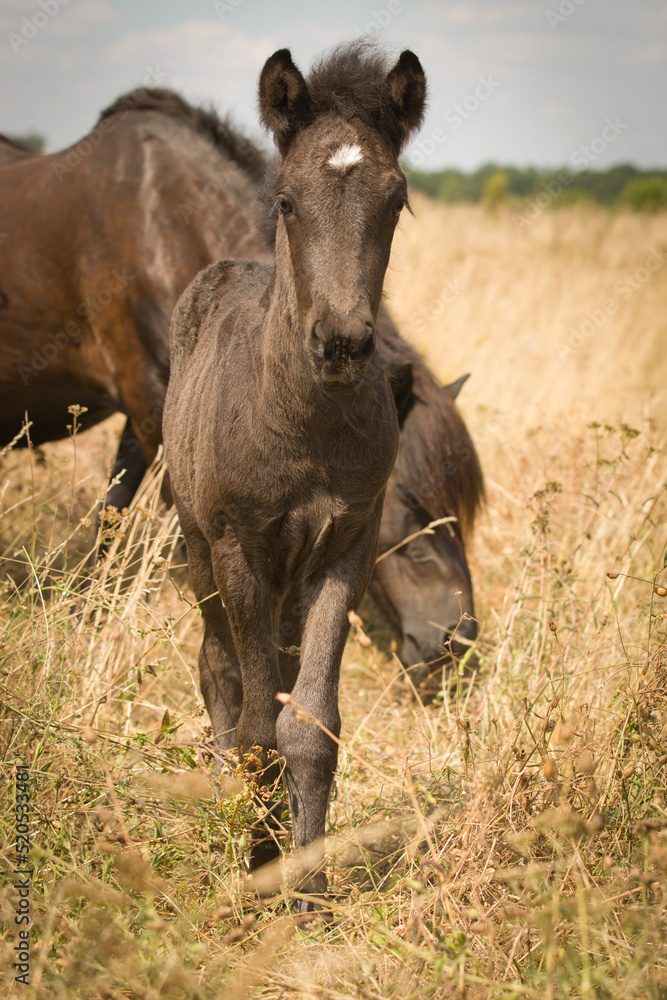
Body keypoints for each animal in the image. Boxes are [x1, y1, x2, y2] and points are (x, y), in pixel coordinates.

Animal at [163, 44, 427, 909]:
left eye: (396, 199)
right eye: (285, 201)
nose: (341, 341)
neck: (305, 423)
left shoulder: (344, 548)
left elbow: (307, 721)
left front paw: (303, 881)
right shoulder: (240, 548)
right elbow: (254, 724)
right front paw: (256, 864)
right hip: (198, 548)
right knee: (219, 672)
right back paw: (225, 802)